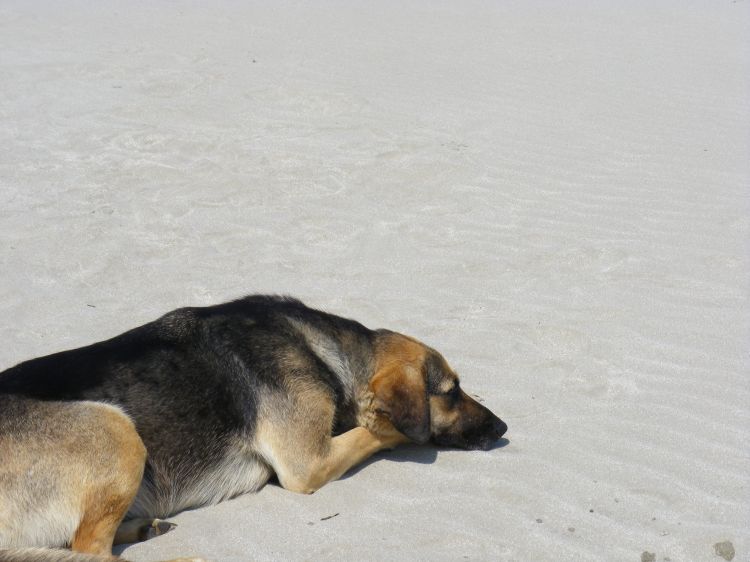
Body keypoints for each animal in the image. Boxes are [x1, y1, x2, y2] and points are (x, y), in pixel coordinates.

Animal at [0, 296, 508, 556]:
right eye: (450, 391)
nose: (503, 428)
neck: (329, 350)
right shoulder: (308, 465)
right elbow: (382, 429)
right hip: (115, 427)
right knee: (88, 551)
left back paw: (143, 528)